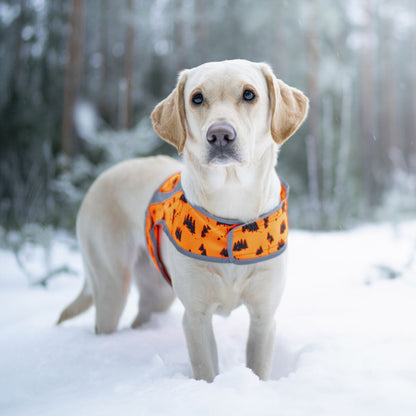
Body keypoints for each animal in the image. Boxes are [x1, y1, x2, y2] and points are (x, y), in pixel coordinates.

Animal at [57, 60, 308, 382]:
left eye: (249, 94)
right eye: (197, 98)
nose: (220, 135)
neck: (231, 204)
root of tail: (102, 178)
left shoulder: (264, 315)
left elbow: (259, 367)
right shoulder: (196, 317)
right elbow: (205, 370)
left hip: (157, 292)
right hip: (111, 283)